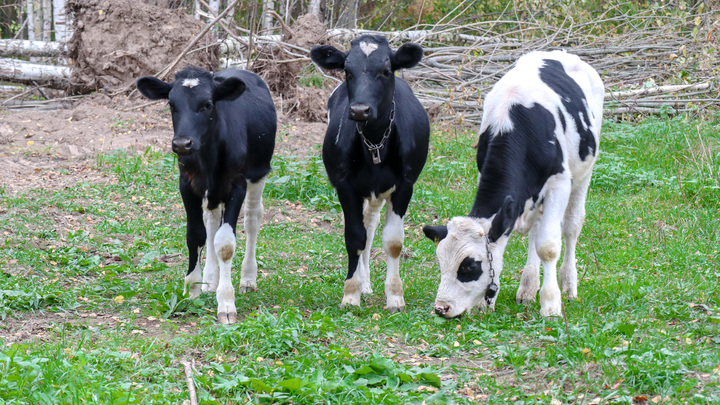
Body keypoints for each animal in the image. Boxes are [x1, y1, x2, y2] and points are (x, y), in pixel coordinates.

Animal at [136, 67, 278, 326]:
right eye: (171, 104)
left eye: (208, 104)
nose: (182, 143)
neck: (209, 158)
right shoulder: (187, 184)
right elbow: (196, 235)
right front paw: (192, 289)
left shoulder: (237, 185)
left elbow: (226, 243)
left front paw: (226, 302)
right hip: (211, 192)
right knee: (211, 222)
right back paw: (211, 280)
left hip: (259, 171)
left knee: (252, 219)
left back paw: (248, 278)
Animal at [310, 35, 428, 312]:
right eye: (347, 71)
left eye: (385, 71)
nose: (360, 110)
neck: (375, 143)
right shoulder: (345, 185)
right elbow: (355, 237)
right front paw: (351, 293)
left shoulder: (405, 185)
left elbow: (393, 241)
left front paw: (395, 296)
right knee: (366, 229)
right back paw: (363, 284)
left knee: (371, 225)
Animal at [422, 49, 600, 316]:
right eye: (441, 262)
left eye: (470, 266)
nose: (442, 308)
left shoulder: (559, 182)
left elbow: (548, 245)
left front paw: (551, 305)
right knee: (535, 231)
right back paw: (527, 288)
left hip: (583, 173)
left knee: (571, 227)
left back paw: (568, 286)